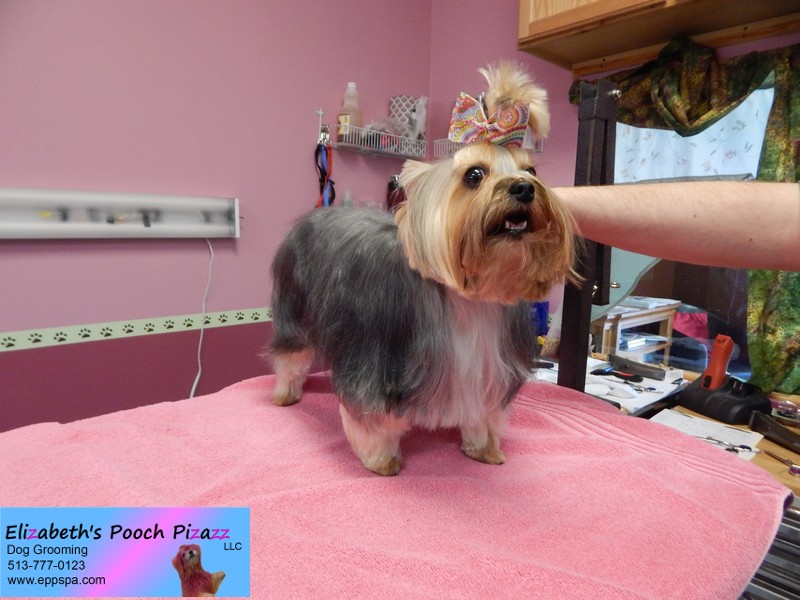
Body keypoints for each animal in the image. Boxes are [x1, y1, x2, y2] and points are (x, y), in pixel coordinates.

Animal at [268, 62, 577, 476]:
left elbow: (483, 415)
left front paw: (484, 447)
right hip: (295, 306)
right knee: (291, 355)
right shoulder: (378, 364)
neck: (469, 300)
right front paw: (381, 458)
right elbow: (371, 417)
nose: (524, 189)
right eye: (475, 175)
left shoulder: (488, 370)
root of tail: (315, 213)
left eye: (532, 172)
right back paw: (286, 393)